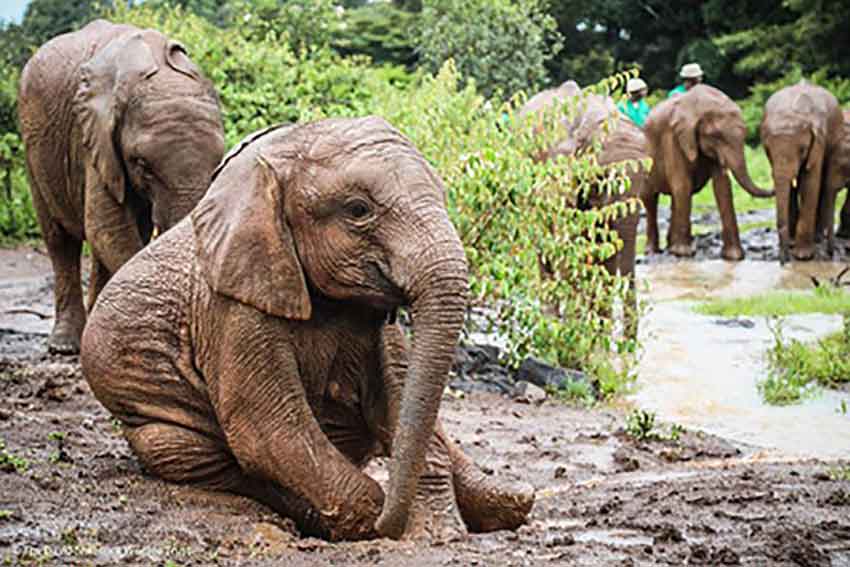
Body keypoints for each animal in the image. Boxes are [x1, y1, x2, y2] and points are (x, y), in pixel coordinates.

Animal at [19, 20, 225, 352]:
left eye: (218, 162)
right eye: (142, 164)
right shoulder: (92, 138)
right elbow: (107, 225)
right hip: (34, 148)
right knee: (59, 239)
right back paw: (65, 345)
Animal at [79, 117, 528, 544]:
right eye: (358, 210)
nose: (392, 522)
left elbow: (400, 399)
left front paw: (438, 532)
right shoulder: (231, 307)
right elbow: (269, 431)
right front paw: (379, 522)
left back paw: (511, 500)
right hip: (154, 428)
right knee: (185, 449)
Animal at [516, 80, 648, 338]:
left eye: (645, 182)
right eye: (604, 177)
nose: (629, 343)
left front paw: (596, 329)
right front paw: (576, 329)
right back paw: (551, 319)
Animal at [640, 84, 772, 260]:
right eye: (716, 136)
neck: (697, 106)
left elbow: (722, 186)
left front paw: (734, 257)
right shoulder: (673, 138)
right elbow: (683, 185)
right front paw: (684, 254)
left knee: (675, 198)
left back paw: (671, 248)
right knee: (650, 199)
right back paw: (653, 252)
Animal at [760, 81, 844, 262]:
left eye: (803, 150)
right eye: (767, 150)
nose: (783, 261)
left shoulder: (818, 142)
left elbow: (810, 182)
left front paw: (803, 256)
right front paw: (793, 246)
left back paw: (817, 238)